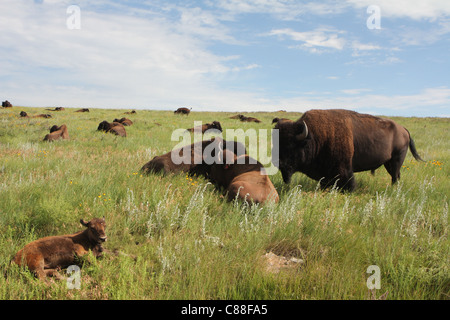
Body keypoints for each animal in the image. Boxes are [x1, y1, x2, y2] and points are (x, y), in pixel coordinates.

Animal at [272, 109, 424, 191]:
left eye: (290, 145)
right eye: (274, 144)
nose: (278, 163)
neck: (314, 137)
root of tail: (403, 129)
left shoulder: (345, 169)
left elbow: (349, 184)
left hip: (396, 160)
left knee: (395, 176)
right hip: (388, 162)